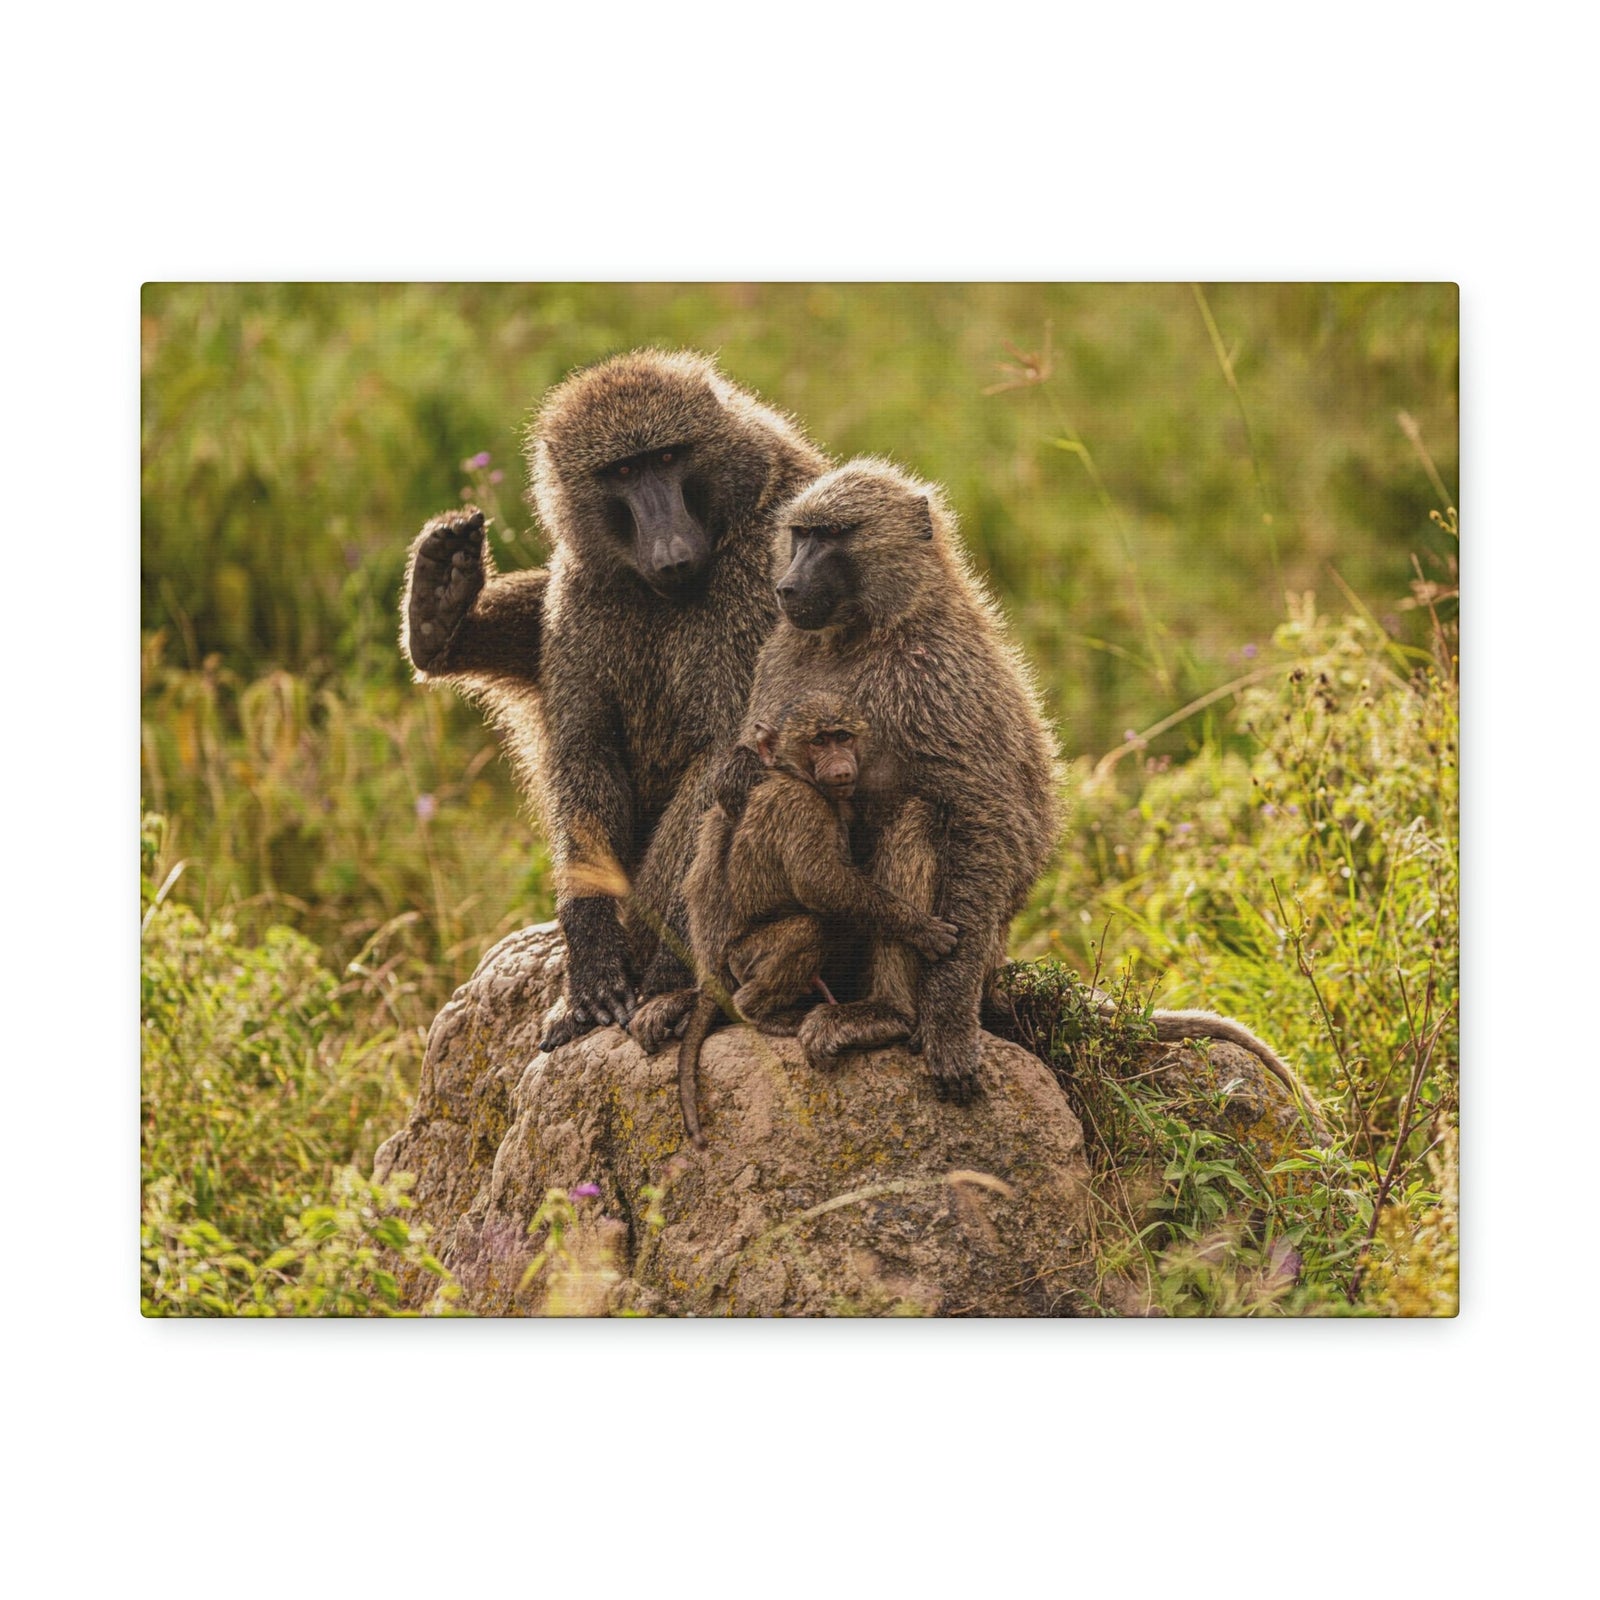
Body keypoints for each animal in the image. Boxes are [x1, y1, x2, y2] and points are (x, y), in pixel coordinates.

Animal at [400, 350, 828, 1052]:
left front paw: (658, 976)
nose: (672, 551)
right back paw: (439, 617)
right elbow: (585, 747)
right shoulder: (587, 587)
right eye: (623, 471)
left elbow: (727, 762)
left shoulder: (764, 579)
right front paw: (595, 959)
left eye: (668, 458)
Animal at [656, 694, 959, 1147]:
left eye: (842, 736)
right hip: (744, 958)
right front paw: (918, 927)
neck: (795, 774)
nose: (841, 765)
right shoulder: (802, 806)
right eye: (818, 741)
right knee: (807, 930)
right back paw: (759, 1012)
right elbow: (821, 884)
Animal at [713, 457, 1062, 1106]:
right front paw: (743, 768)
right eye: (801, 534)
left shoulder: (937, 675)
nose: (787, 588)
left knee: (920, 815)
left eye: (834, 535)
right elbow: (748, 780)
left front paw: (947, 1026)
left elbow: (985, 818)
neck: (864, 633)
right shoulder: (780, 657)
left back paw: (887, 1015)